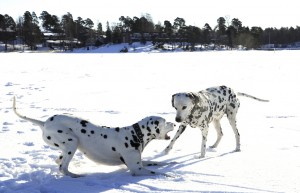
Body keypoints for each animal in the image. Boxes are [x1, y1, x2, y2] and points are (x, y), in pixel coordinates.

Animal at [12, 97, 175, 177]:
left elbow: (156, 162)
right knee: (62, 167)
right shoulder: (137, 169)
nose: (174, 122)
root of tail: (44, 122)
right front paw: (169, 176)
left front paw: (169, 163)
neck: (134, 134)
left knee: (58, 160)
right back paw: (74, 175)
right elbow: (157, 173)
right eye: (165, 122)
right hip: (72, 142)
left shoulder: (140, 162)